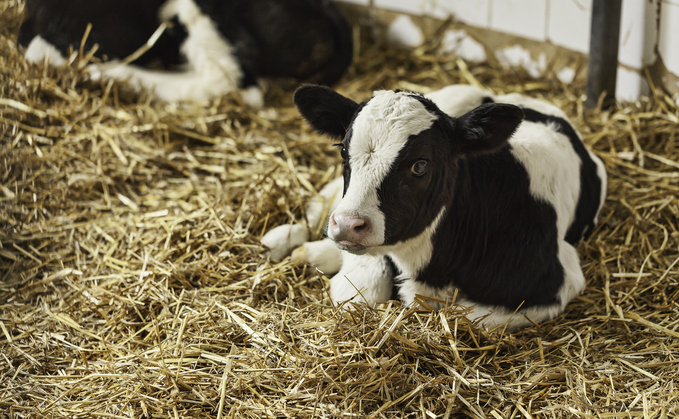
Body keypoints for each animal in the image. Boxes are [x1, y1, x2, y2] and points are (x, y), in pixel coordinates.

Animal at [262, 83, 608, 330]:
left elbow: (465, 316)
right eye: (343, 151)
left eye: (420, 165)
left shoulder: (561, 280)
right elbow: (362, 289)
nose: (348, 224)